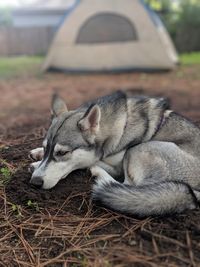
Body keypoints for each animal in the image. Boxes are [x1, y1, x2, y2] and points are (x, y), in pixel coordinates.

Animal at [28, 92, 200, 218]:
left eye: (62, 153)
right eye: (47, 148)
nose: (35, 182)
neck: (118, 127)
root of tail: (195, 194)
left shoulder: (117, 165)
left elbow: (88, 162)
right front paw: (37, 154)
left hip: (137, 150)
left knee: (125, 186)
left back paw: (98, 173)